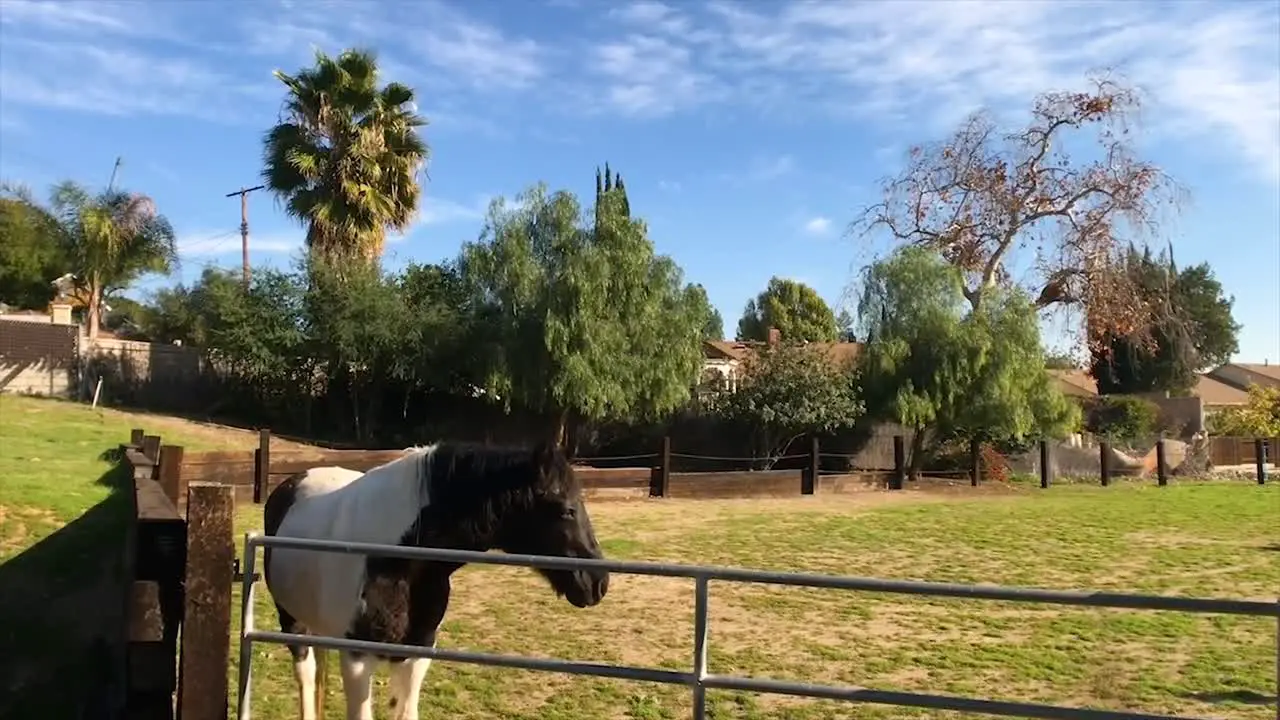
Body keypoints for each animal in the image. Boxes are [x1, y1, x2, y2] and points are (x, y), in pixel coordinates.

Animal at [259, 438, 609, 717]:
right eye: (566, 509)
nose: (597, 583)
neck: (397, 558)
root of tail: (290, 484)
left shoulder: (416, 653)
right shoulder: (357, 659)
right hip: (292, 622)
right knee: (306, 677)